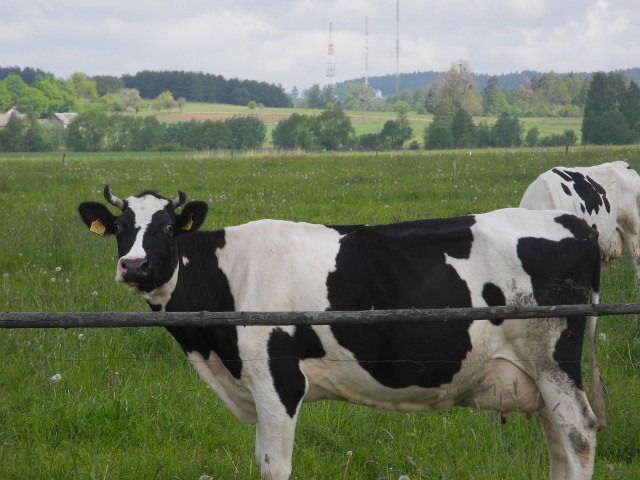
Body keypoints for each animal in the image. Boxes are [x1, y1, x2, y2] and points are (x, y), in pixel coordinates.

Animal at [79, 187, 604, 480]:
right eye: (120, 227)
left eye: (168, 227)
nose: (134, 265)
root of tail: (570, 221)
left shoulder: (277, 380)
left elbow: (273, 464)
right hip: (537, 377)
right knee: (559, 442)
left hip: (552, 361)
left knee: (579, 435)